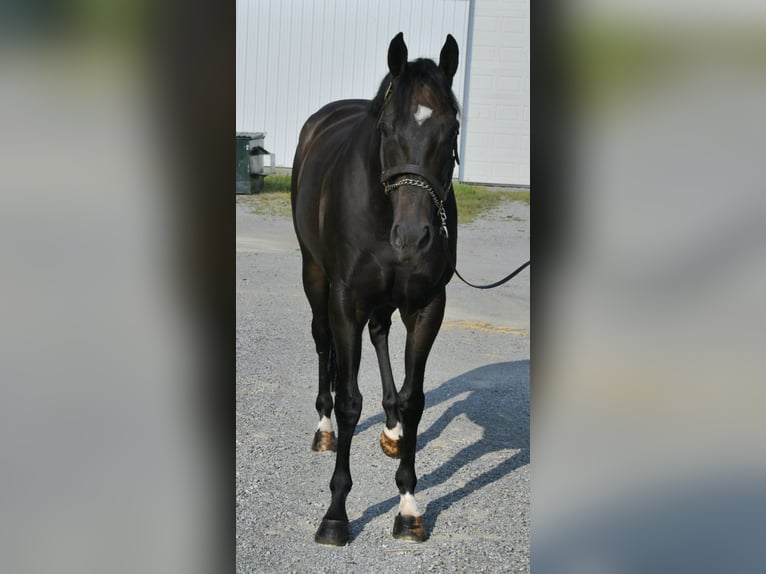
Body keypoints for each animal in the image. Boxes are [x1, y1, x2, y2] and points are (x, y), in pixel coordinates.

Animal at [292, 32, 462, 548]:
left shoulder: (428, 305)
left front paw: (407, 506)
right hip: (314, 275)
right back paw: (323, 429)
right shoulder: (346, 298)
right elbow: (350, 400)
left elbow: (414, 399)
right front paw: (335, 515)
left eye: (453, 128)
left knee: (381, 334)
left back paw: (390, 431)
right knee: (323, 341)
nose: (412, 237)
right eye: (386, 129)